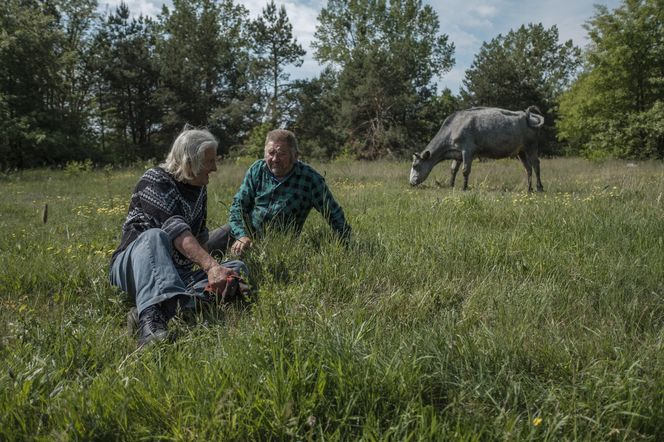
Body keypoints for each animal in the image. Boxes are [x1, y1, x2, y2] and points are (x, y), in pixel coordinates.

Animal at [410, 106, 544, 192]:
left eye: (415, 165)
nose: (410, 183)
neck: (453, 127)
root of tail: (528, 114)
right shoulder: (457, 153)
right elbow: (453, 169)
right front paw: (451, 185)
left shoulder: (467, 150)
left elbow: (465, 170)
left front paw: (464, 188)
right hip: (521, 151)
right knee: (528, 168)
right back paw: (529, 188)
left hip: (532, 147)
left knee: (536, 165)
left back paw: (539, 187)